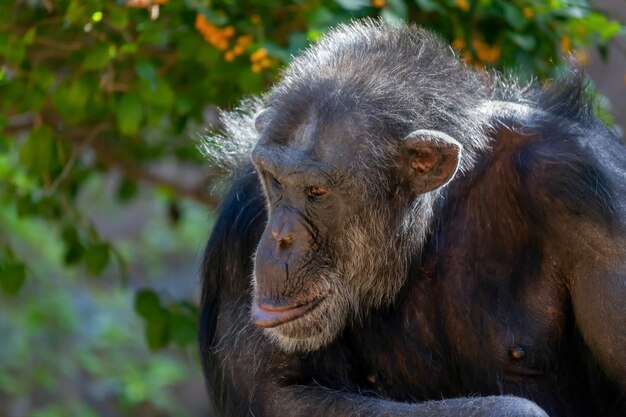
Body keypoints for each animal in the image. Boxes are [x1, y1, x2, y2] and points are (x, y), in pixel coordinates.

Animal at [197, 20, 620, 416]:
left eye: (317, 192)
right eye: (274, 181)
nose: (280, 238)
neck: (432, 219)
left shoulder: (586, 190)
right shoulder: (244, 224)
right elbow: (282, 393)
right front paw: (512, 411)